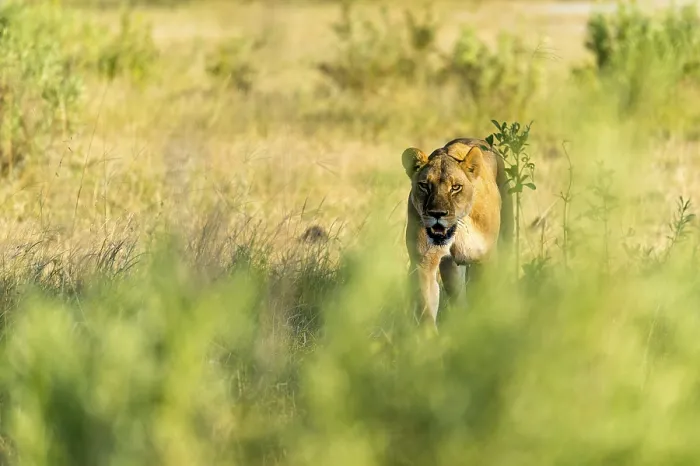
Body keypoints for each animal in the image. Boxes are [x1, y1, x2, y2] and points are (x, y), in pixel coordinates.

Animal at [402, 138, 513, 327]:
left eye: (455, 187)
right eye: (424, 186)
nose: (437, 214)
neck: (458, 229)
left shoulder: (485, 259)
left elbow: (482, 299)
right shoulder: (423, 262)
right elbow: (426, 310)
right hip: (451, 270)